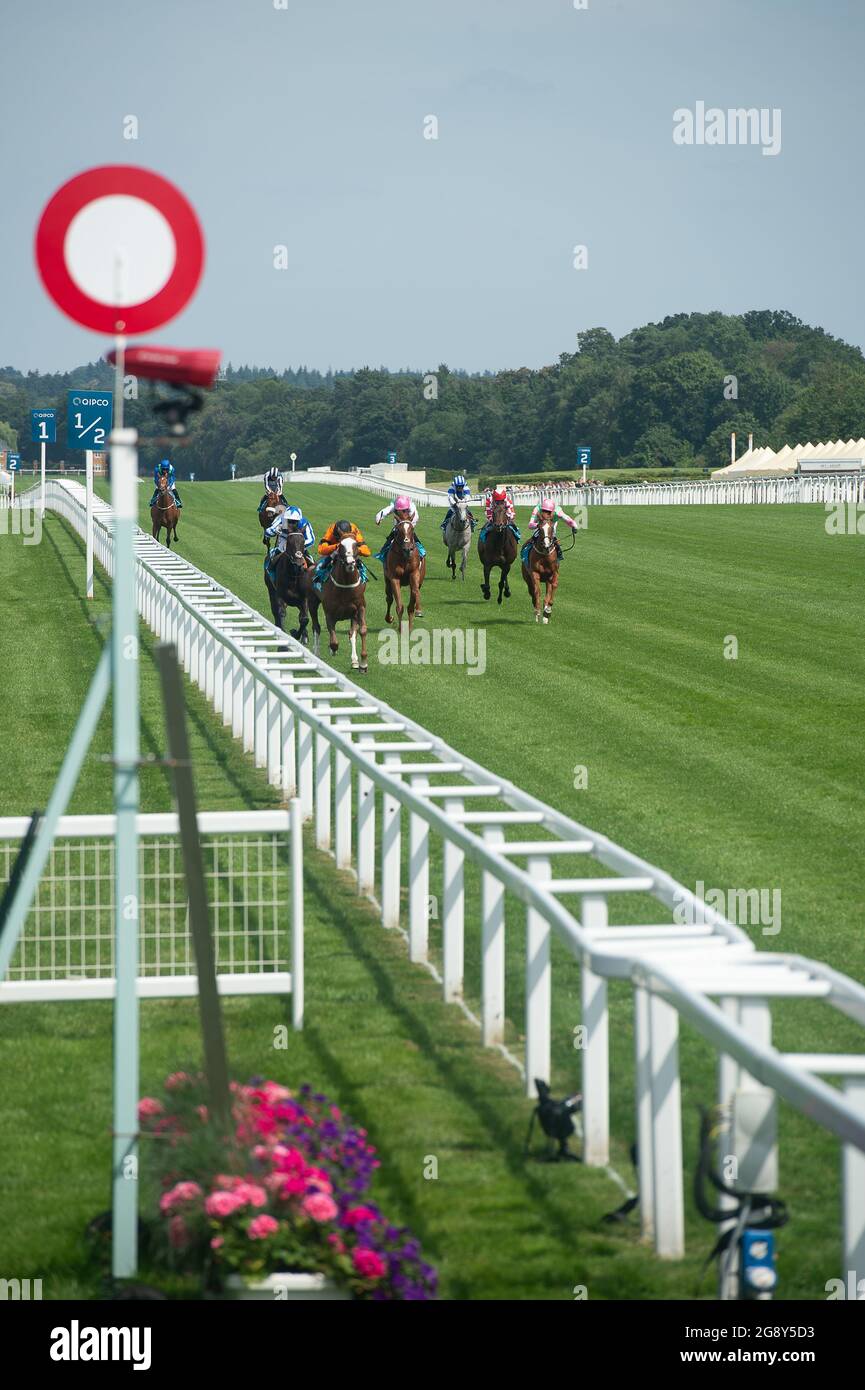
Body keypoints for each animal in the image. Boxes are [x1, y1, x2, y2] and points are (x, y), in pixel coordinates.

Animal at [310, 536, 367, 672]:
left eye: (356, 545)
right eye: (340, 546)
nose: (350, 563)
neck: (346, 586)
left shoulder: (359, 608)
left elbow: (361, 631)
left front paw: (363, 663)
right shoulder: (329, 612)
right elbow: (334, 641)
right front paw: (332, 650)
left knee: (352, 633)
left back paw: (354, 660)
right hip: (312, 602)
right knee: (316, 627)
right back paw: (316, 653)